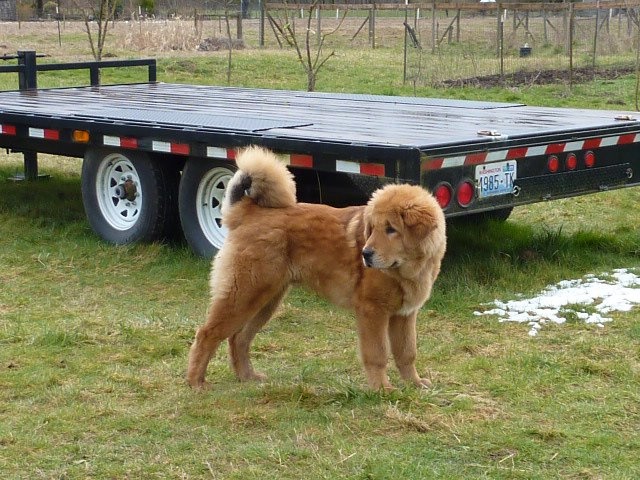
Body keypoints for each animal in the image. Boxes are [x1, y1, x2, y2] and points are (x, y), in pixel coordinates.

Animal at [186, 145, 444, 390]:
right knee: (207, 334)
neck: (405, 271)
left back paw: (247, 377)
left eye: (391, 229)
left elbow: (407, 353)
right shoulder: (372, 312)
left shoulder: (404, 315)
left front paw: (414, 384)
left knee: (238, 338)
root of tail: (248, 211)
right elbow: (378, 354)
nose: (365, 254)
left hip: (265, 300)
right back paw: (196, 382)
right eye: (372, 228)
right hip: (243, 295)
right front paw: (382, 388)